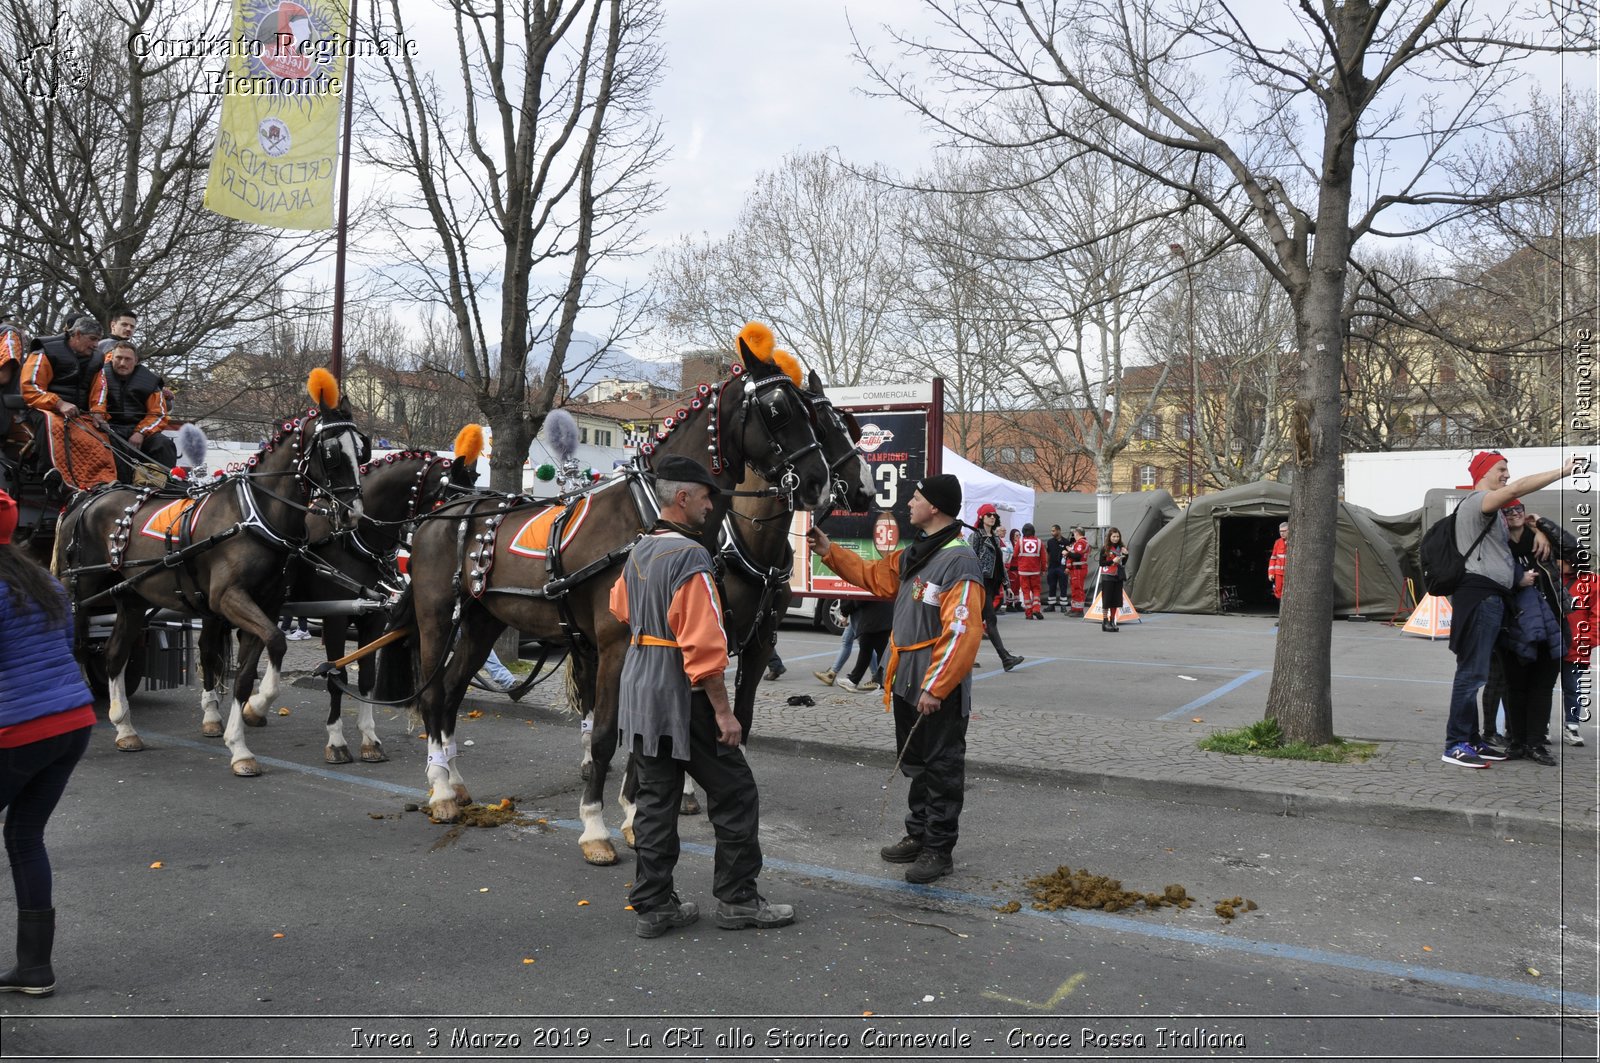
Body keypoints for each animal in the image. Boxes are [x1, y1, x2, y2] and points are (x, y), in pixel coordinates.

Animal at [57, 369, 366, 778]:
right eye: (330, 453)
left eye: (361, 450)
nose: (353, 514)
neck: (255, 515)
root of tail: (86, 497)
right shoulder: (229, 599)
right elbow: (276, 642)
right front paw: (252, 715)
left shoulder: (265, 605)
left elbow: (250, 670)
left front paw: (243, 737)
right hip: (80, 592)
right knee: (73, 647)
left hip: (131, 599)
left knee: (113, 653)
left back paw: (125, 728)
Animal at [368, 336, 832, 845]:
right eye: (778, 409)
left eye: (813, 413)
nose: (819, 481)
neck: (649, 517)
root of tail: (437, 515)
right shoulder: (614, 645)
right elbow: (607, 731)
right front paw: (595, 825)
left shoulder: (666, 642)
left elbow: (646, 726)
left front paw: (633, 813)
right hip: (436, 617)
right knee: (433, 695)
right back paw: (441, 792)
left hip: (481, 622)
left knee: (451, 693)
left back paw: (455, 781)